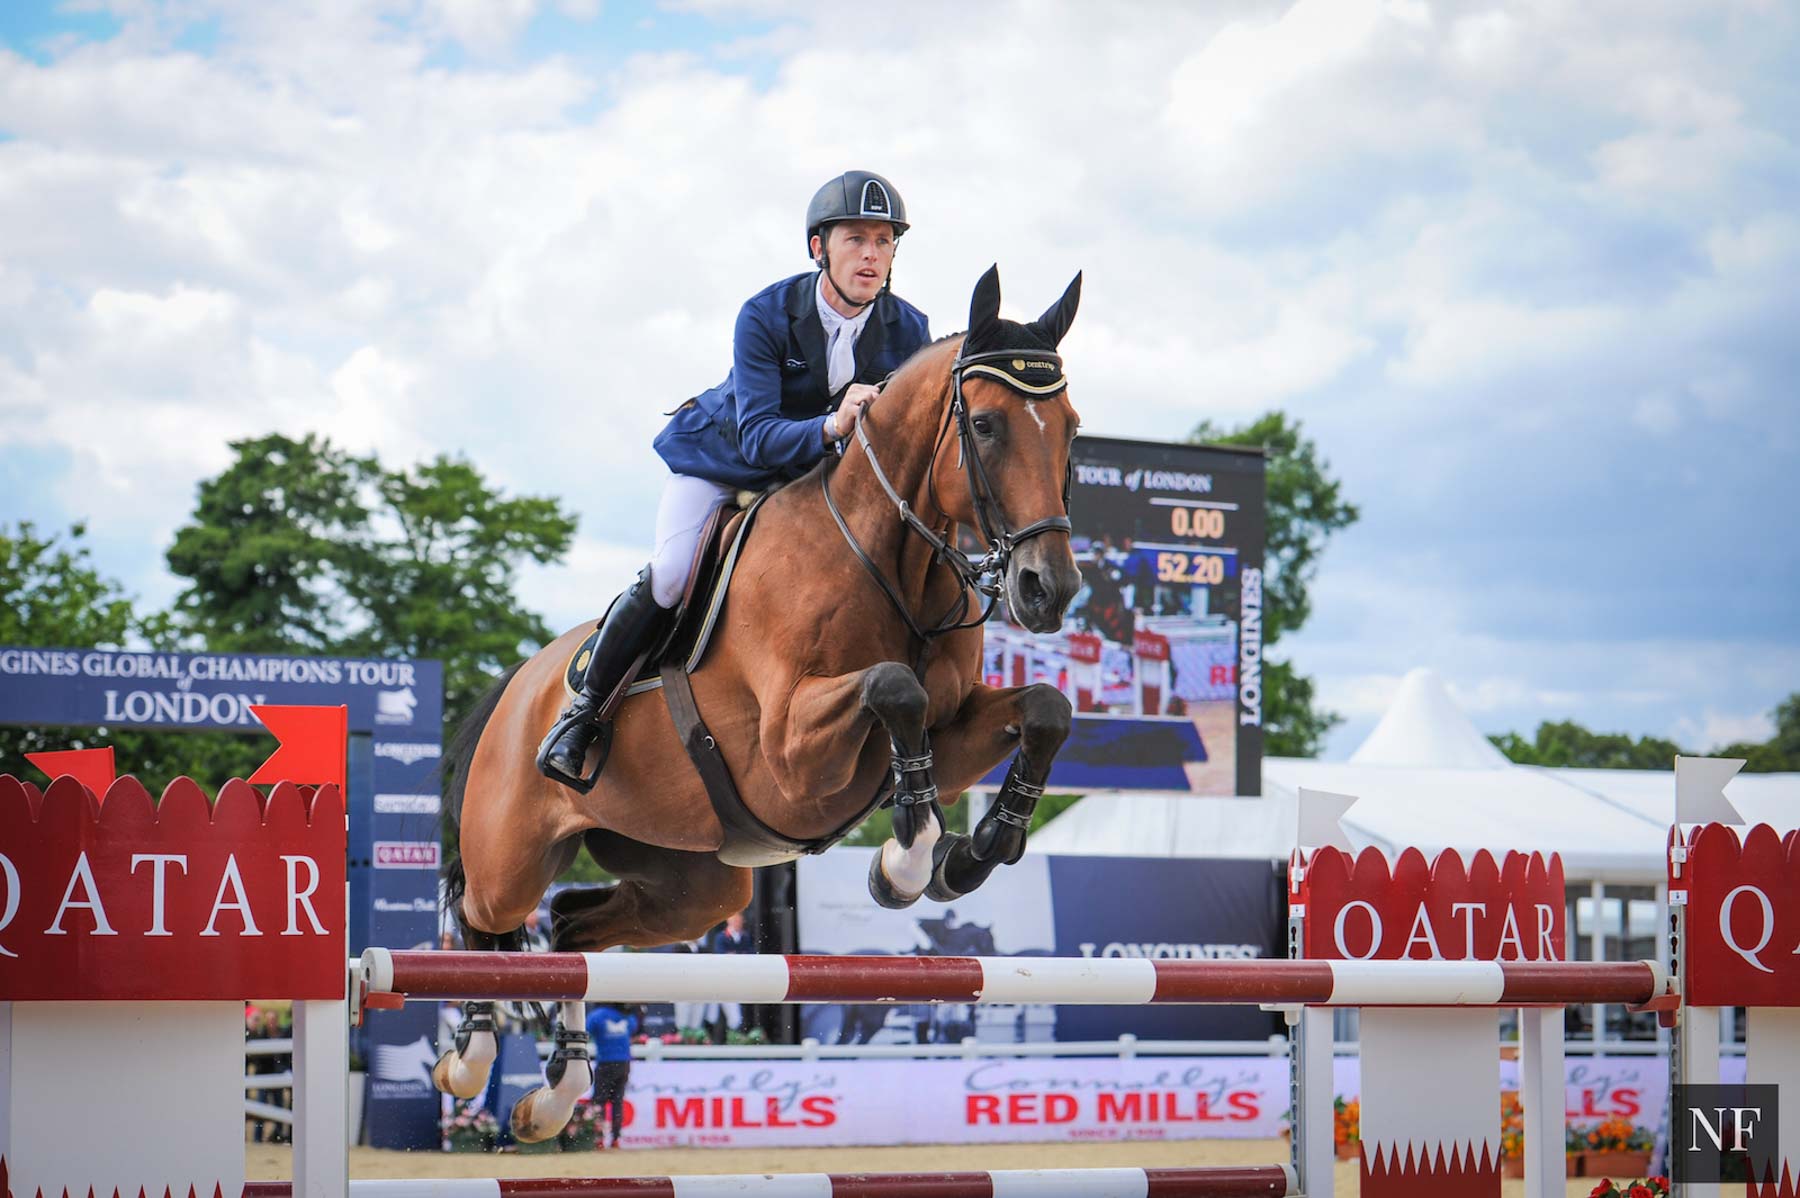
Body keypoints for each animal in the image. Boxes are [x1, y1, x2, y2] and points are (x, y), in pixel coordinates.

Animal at [435, 264, 1080, 1136]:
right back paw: (469, 1055)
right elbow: (893, 686)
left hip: (695, 886)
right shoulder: (791, 758)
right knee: (481, 913)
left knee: (569, 926)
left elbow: (1044, 707)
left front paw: (971, 855)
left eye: (1071, 428)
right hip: (513, 856)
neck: (891, 560)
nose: (1049, 591)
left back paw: (558, 1092)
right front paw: (906, 862)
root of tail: (518, 684)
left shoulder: (949, 735)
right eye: (983, 425)